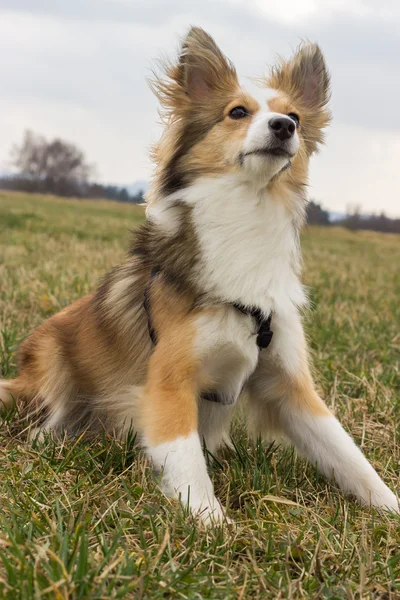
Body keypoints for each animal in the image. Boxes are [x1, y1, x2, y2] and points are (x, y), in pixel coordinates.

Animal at [1, 28, 398, 524]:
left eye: (294, 117)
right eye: (238, 112)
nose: (283, 127)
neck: (248, 210)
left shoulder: (290, 384)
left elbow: (347, 453)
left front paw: (389, 507)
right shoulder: (170, 380)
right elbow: (186, 457)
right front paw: (211, 521)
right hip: (50, 353)